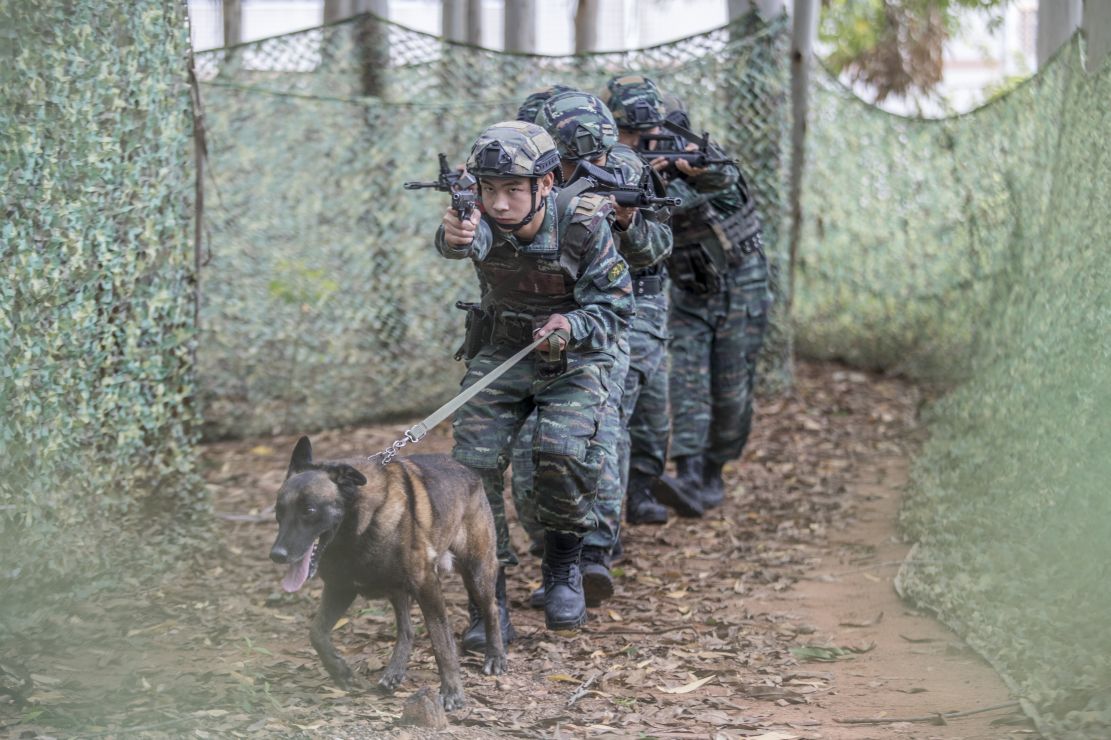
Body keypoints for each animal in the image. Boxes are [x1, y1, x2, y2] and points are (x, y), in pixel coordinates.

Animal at [271, 435, 506, 706]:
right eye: (278, 511)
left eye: (309, 510)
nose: (276, 555)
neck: (358, 528)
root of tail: (466, 469)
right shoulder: (340, 588)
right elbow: (316, 633)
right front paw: (342, 673)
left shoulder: (427, 585)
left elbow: (441, 641)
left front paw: (452, 690)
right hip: (398, 589)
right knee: (406, 629)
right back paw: (394, 671)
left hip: (477, 573)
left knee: (491, 609)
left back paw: (495, 656)